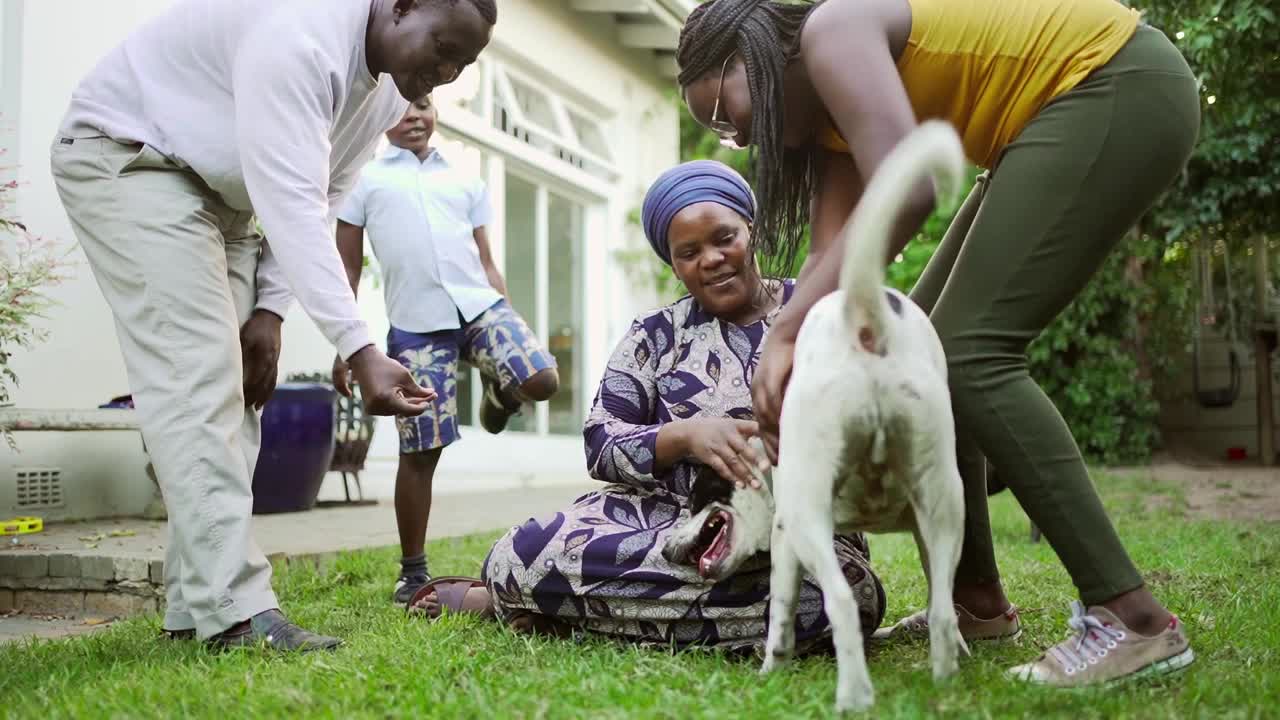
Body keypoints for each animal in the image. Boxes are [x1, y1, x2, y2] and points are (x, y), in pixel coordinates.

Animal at [665, 120, 962, 707]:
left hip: (810, 521)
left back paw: (854, 696)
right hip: (946, 499)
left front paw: (770, 670)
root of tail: (862, 317)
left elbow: (779, 615)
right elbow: (943, 600)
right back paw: (942, 689)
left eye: (695, 500)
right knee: (940, 609)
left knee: (842, 603)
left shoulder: (786, 535)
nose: (665, 551)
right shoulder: (926, 525)